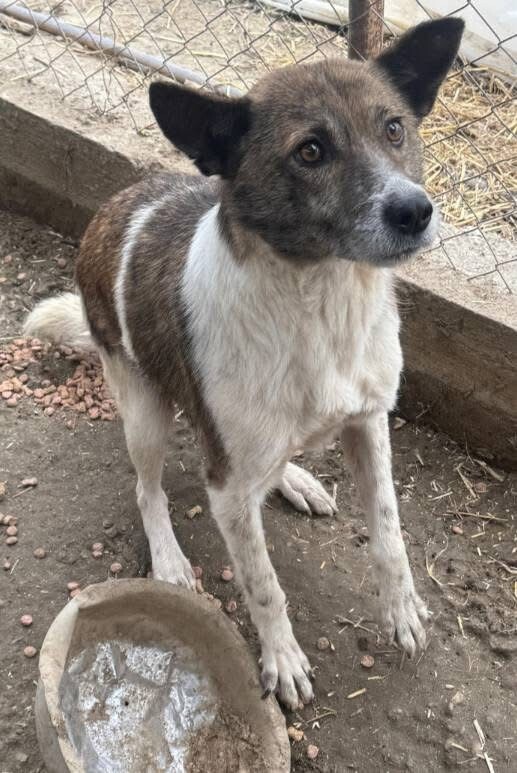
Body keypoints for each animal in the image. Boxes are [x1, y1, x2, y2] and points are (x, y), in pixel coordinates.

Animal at [25, 18, 464, 709]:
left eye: (394, 128)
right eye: (310, 151)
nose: (415, 211)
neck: (320, 304)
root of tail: (115, 204)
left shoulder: (369, 422)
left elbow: (391, 536)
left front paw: (401, 610)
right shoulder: (226, 487)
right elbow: (262, 584)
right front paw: (282, 658)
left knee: (270, 464)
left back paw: (296, 479)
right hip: (144, 412)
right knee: (148, 489)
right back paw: (171, 559)